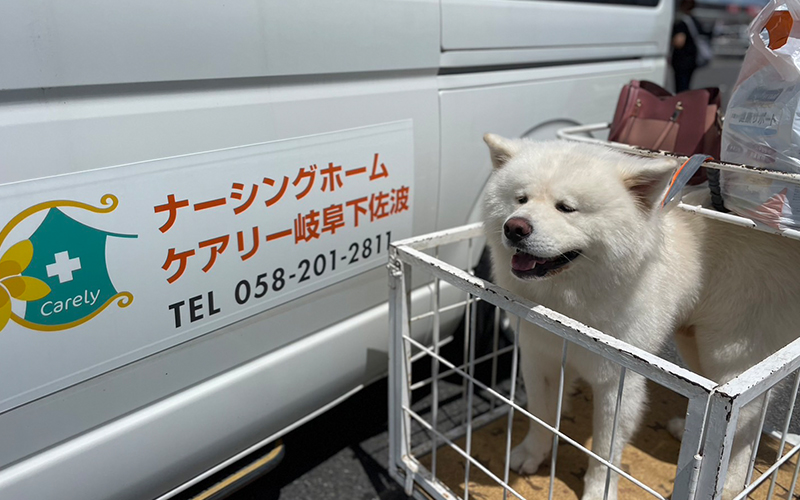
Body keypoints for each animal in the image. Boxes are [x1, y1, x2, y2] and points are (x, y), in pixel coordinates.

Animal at [482, 135, 800, 500]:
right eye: (520, 199)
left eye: (566, 208)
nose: (515, 227)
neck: (567, 305)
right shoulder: (540, 358)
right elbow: (540, 416)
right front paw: (532, 453)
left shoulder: (617, 381)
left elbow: (605, 451)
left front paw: (599, 491)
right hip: (694, 344)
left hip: (730, 354)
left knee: (745, 427)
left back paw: (731, 482)